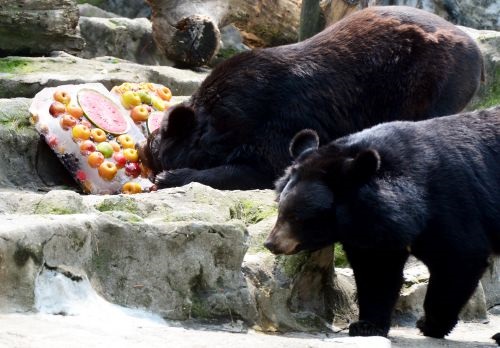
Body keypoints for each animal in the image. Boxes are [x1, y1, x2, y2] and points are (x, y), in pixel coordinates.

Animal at [264, 106, 500, 342]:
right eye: (280, 209)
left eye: (297, 216)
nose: (271, 244)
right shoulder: (373, 230)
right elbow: (377, 271)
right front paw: (366, 326)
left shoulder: (450, 202)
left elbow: (458, 257)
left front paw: (428, 325)